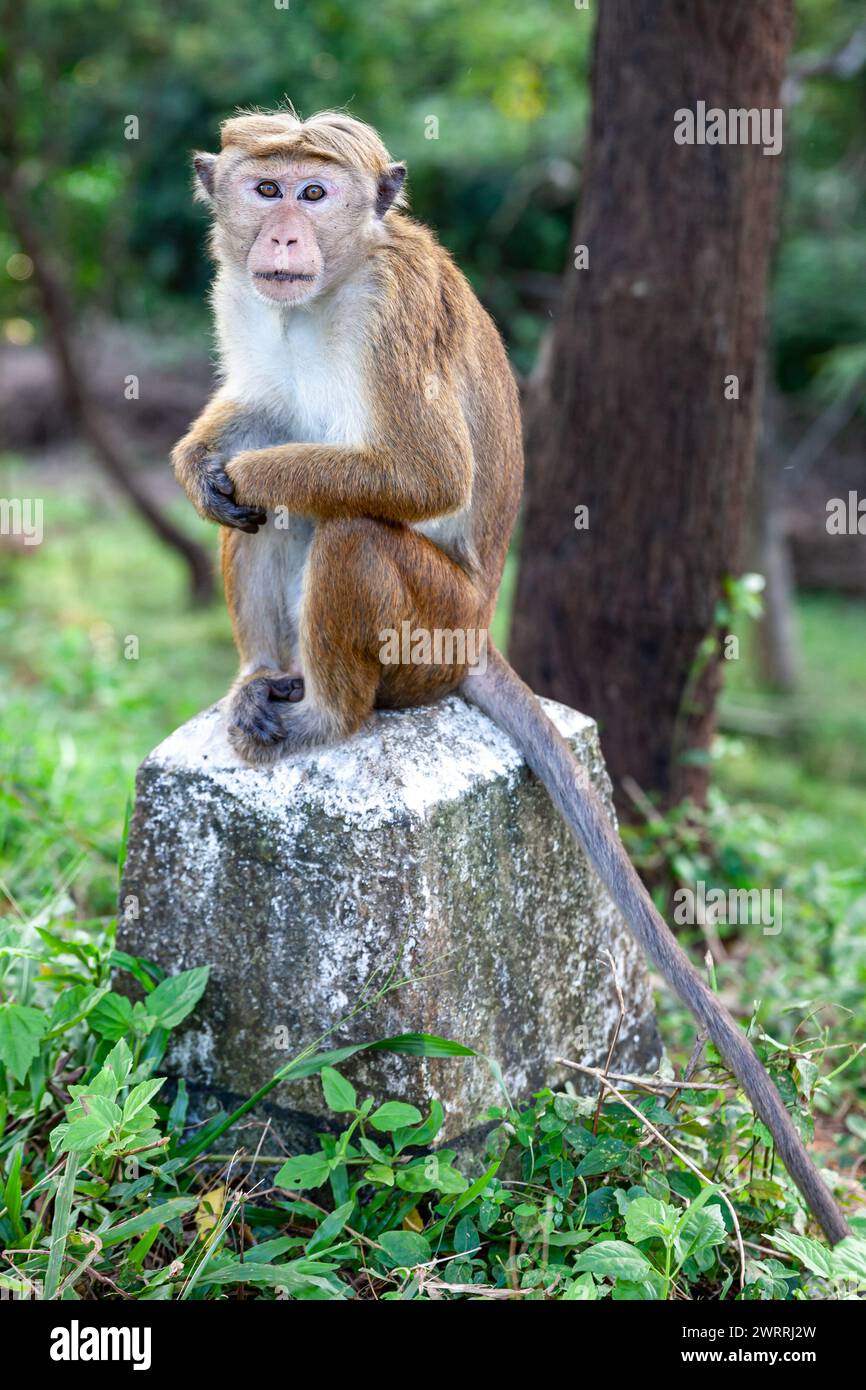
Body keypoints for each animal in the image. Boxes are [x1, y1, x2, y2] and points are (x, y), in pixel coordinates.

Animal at [172, 108, 849, 1246]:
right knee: (276, 510)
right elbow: (256, 405)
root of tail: (482, 632)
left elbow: (419, 473)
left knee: (346, 526)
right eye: (265, 188)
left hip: (430, 630)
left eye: (316, 192)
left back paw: (327, 716)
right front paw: (196, 461)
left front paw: (240, 469)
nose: (282, 235)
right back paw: (264, 684)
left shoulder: (391, 308)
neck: (324, 294)